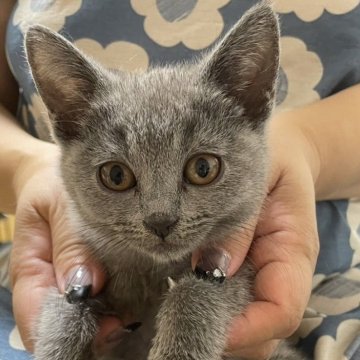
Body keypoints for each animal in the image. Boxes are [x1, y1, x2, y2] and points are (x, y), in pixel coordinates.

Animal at [25, 2, 306, 360]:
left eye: (203, 168)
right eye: (116, 175)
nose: (160, 220)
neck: (152, 273)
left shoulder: (237, 270)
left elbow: (198, 290)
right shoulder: (75, 279)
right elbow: (63, 310)